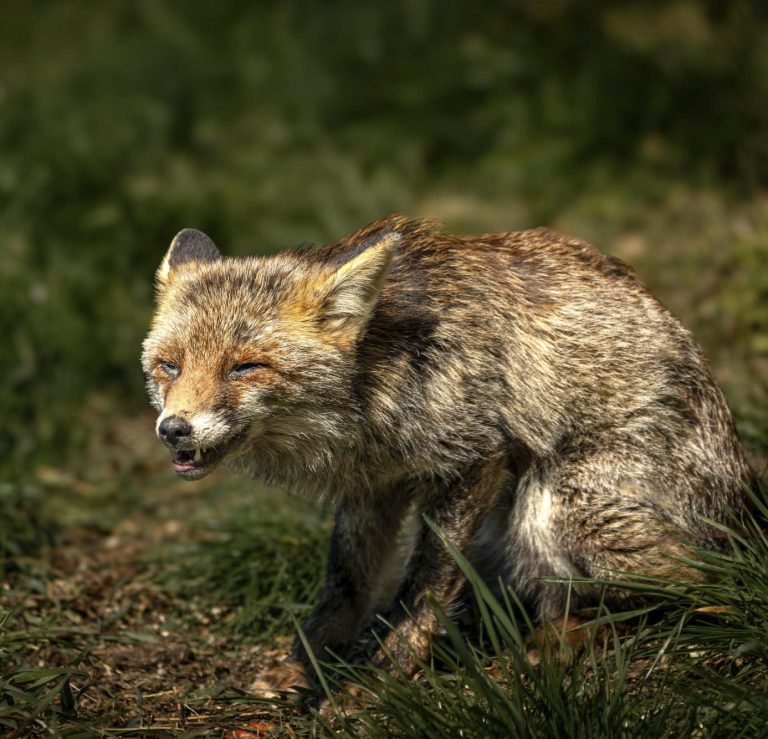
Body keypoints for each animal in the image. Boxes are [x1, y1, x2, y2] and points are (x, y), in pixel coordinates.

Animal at [144, 212, 756, 692]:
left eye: (245, 367)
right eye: (169, 366)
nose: (174, 429)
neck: (374, 383)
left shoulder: (478, 455)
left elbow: (425, 589)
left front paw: (378, 681)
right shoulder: (373, 484)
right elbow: (345, 582)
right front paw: (309, 662)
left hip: (558, 509)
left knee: (707, 589)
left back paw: (561, 641)